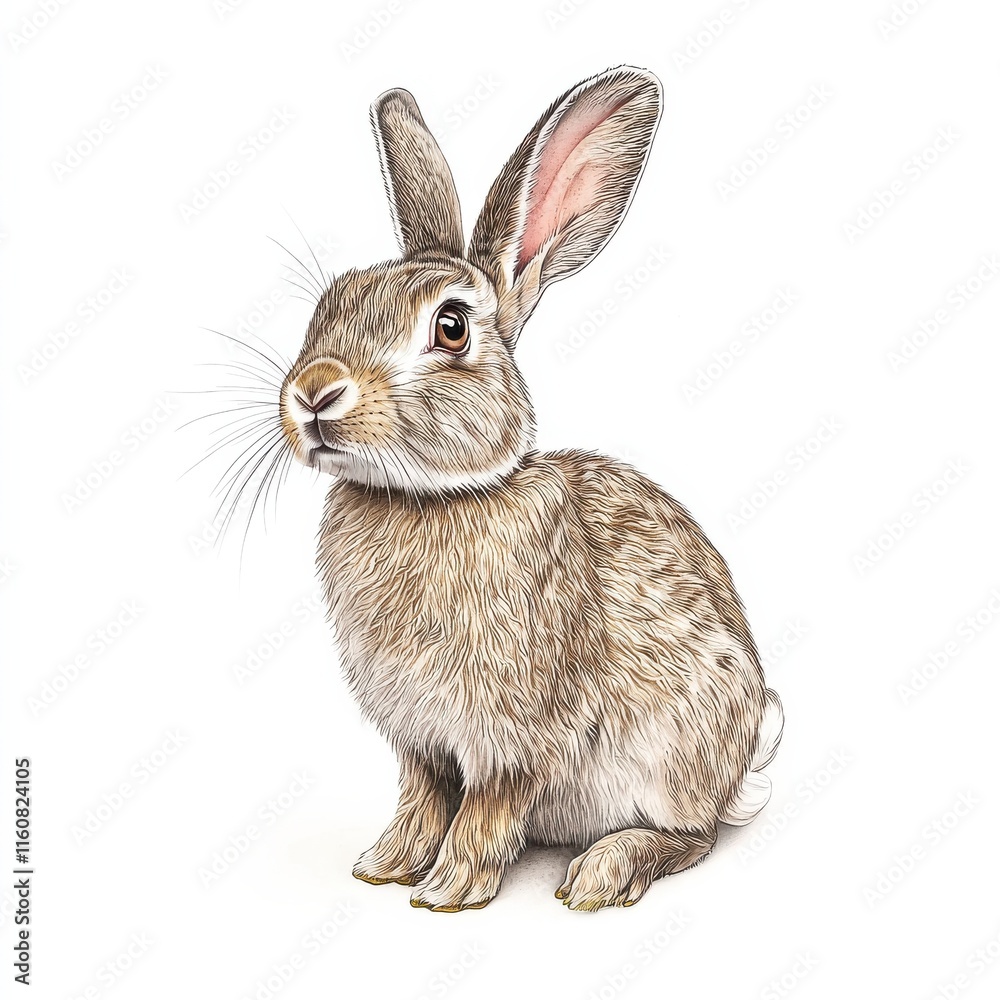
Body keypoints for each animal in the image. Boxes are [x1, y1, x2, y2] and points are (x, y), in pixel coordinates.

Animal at [275, 65, 783, 912]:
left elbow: (486, 807)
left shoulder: (517, 733)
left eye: (451, 328)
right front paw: (382, 867)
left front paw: (447, 891)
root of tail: (741, 767)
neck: (433, 497)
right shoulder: (420, 740)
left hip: (673, 754)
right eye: (329, 304)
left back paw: (604, 873)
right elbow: (422, 799)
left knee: (695, 836)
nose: (315, 392)